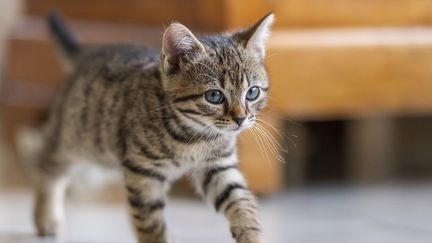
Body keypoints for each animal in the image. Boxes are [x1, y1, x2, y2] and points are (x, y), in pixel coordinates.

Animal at [26, 12, 274, 243]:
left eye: (252, 92)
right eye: (214, 96)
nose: (241, 118)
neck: (196, 136)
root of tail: (88, 53)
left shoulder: (217, 166)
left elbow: (241, 200)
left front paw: (251, 234)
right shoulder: (143, 171)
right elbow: (150, 220)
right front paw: (157, 235)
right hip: (76, 139)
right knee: (47, 167)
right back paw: (46, 217)